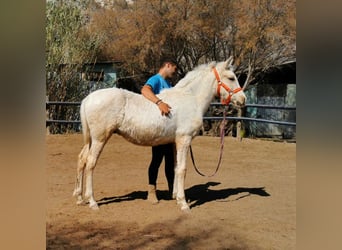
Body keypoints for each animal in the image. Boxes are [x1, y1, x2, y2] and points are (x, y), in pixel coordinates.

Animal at [73, 58, 247, 211]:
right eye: (231, 78)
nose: (243, 99)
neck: (190, 99)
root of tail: (88, 98)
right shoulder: (184, 140)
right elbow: (183, 169)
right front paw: (184, 204)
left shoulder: (175, 142)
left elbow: (175, 168)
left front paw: (176, 196)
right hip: (99, 138)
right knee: (90, 163)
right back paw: (92, 202)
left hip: (90, 140)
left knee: (82, 160)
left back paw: (80, 198)